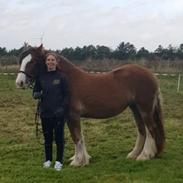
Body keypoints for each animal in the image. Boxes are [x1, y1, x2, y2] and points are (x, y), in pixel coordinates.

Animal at [15, 44, 165, 166]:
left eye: (33, 61)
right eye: (21, 61)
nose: (20, 82)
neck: (69, 80)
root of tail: (151, 75)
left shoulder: (73, 116)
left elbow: (76, 137)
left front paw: (78, 161)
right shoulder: (68, 117)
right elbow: (78, 136)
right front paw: (80, 158)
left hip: (145, 109)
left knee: (151, 129)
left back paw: (145, 155)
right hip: (135, 108)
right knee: (142, 130)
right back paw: (134, 154)